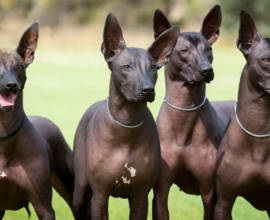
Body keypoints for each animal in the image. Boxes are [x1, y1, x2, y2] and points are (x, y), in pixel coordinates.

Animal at [71, 13, 178, 218]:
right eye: (127, 66)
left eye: (153, 68)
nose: (148, 89)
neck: (127, 125)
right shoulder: (100, 195)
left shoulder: (140, 196)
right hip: (80, 192)